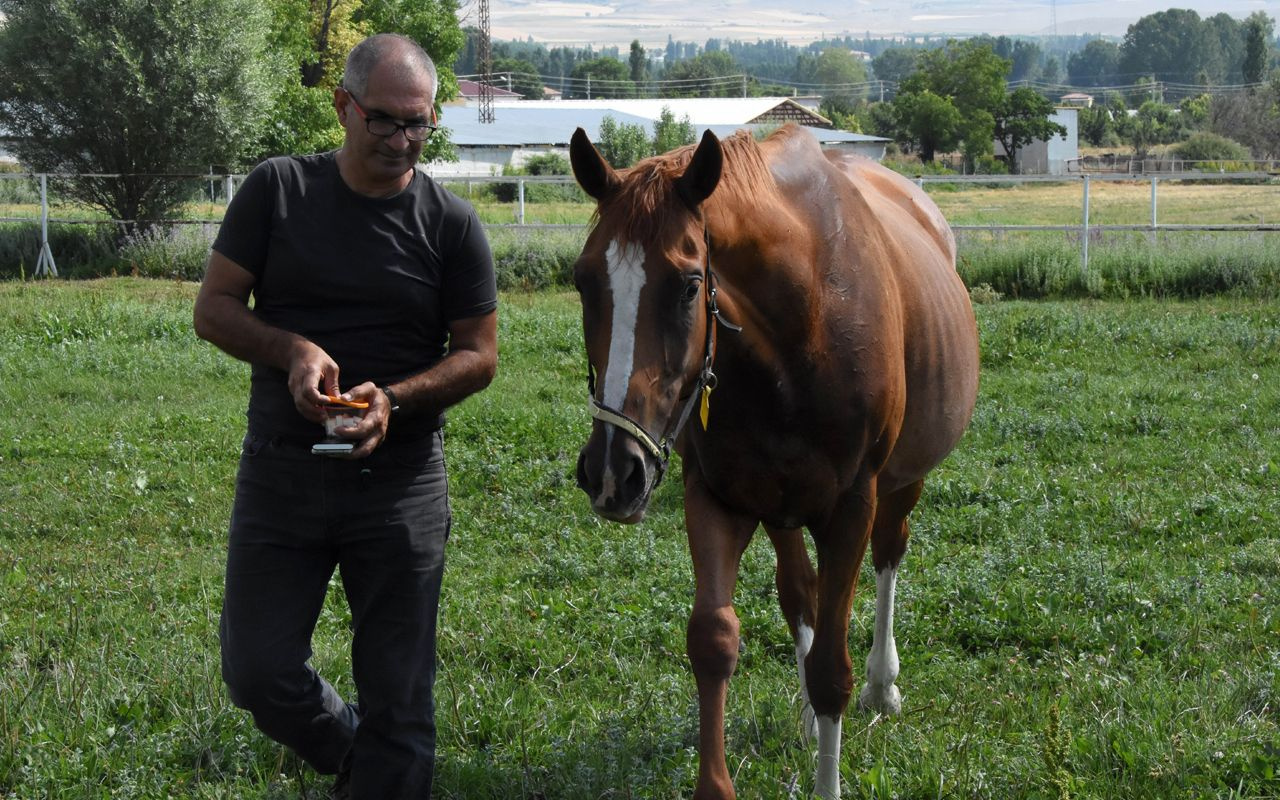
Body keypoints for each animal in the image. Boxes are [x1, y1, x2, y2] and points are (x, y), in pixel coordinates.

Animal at [570, 124, 977, 798]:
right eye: (582, 281)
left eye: (689, 285)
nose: (613, 472)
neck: (803, 323)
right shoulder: (715, 497)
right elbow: (713, 640)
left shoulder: (851, 507)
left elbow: (833, 669)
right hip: (779, 504)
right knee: (799, 590)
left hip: (901, 483)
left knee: (890, 553)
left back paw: (882, 683)